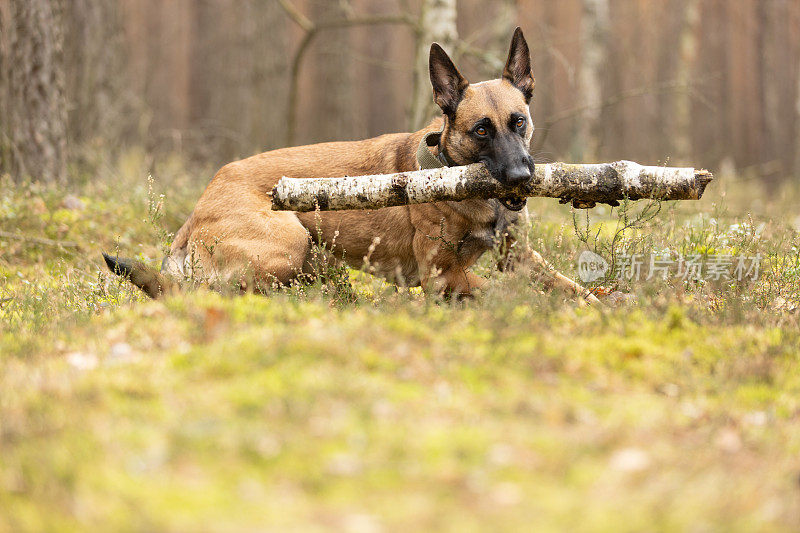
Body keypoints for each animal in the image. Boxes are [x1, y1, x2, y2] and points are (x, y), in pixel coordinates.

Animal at [103, 29, 596, 304]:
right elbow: (499, 290)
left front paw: (604, 306)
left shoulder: (519, 255)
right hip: (290, 244)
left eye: (519, 122)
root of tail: (199, 206)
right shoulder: (440, 275)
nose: (521, 180)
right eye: (480, 131)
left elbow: (572, 288)